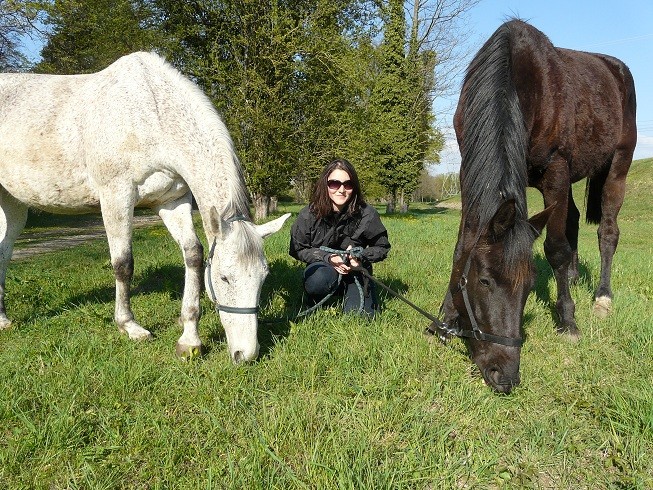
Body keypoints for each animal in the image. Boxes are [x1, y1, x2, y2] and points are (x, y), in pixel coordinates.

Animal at [0, 51, 290, 362]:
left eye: (263, 278)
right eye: (224, 278)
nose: (245, 354)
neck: (151, 115)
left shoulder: (172, 201)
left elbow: (193, 254)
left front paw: (189, 338)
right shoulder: (116, 196)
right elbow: (123, 263)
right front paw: (129, 326)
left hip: (12, 205)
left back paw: (3, 320)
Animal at [436, 20, 636, 394]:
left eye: (530, 287)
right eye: (484, 281)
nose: (505, 375)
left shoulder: (556, 170)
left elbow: (555, 248)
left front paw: (568, 320)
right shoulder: (467, 171)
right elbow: (462, 246)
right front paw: (443, 319)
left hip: (618, 166)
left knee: (607, 231)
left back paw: (602, 297)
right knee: (572, 220)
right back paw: (573, 275)